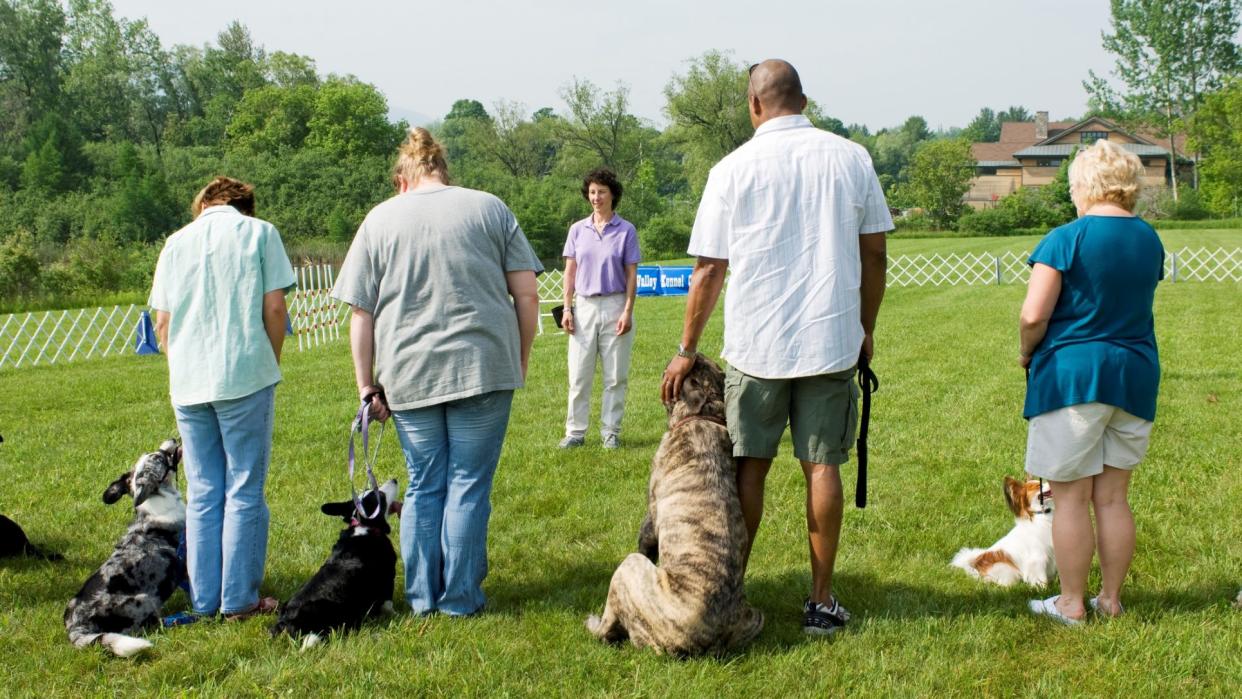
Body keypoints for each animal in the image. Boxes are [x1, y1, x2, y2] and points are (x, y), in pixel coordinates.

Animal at [586, 355, 760, 655]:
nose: (680, 356)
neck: (703, 414)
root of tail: (704, 643)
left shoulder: (651, 514)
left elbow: (646, 541)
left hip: (629, 568)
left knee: (608, 629)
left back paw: (596, 624)